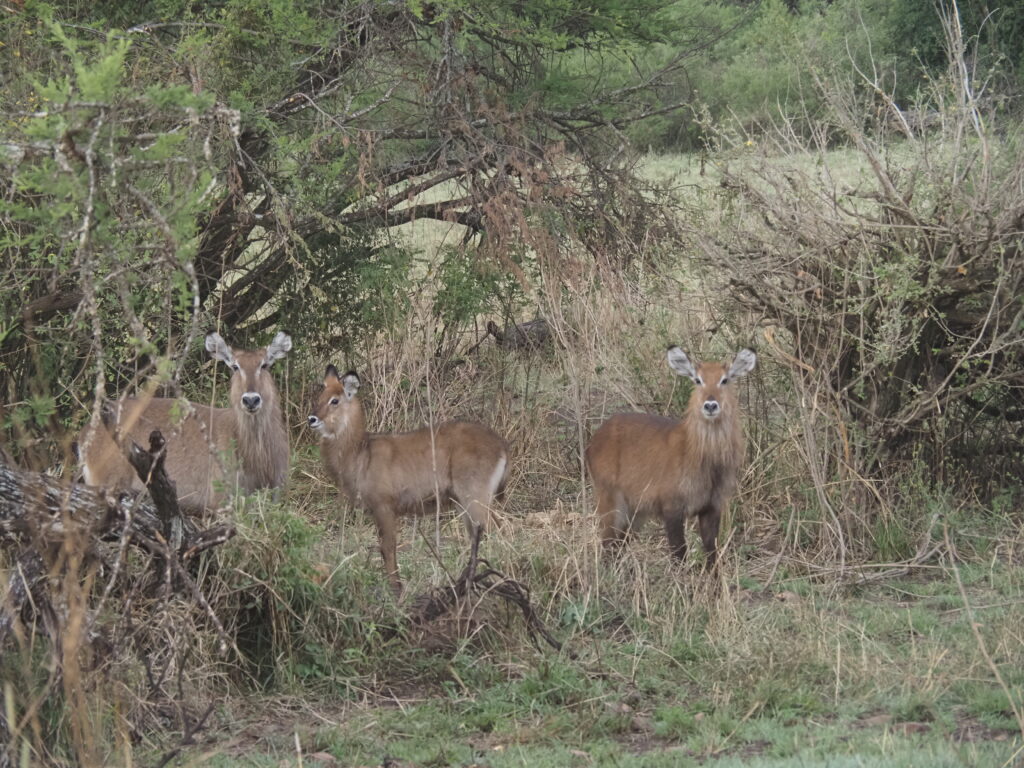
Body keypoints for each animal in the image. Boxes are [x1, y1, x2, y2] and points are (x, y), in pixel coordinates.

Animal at [305, 366, 509, 593]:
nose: (312, 419)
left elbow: (388, 549)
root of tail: (501, 445)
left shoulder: (384, 507)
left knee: (499, 531)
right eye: (320, 396)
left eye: (335, 400)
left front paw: (397, 590)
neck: (360, 452)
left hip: (474, 498)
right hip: (464, 504)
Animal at [585, 348, 753, 573]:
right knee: (607, 542)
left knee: (619, 543)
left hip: (636, 511)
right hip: (610, 498)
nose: (710, 405)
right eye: (697, 380)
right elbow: (679, 552)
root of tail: (594, 439)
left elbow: (712, 552)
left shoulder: (712, 506)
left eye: (724, 380)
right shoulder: (672, 506)